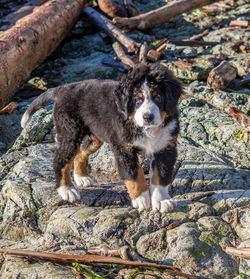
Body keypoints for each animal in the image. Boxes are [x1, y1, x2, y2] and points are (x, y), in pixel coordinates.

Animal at [21, 63, 182, 212]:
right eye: (137, 99)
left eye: (158, 97)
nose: (148, 117)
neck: (146, 129)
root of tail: (64, 88)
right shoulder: (124, 149)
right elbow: (134, 175)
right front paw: (141, 199)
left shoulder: (165, 147)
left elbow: (161, 176)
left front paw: (161, 201)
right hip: (70, 132)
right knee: (60, 160)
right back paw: (67, 190)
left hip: (94, 136)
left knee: (80, 153)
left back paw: (82, 178)